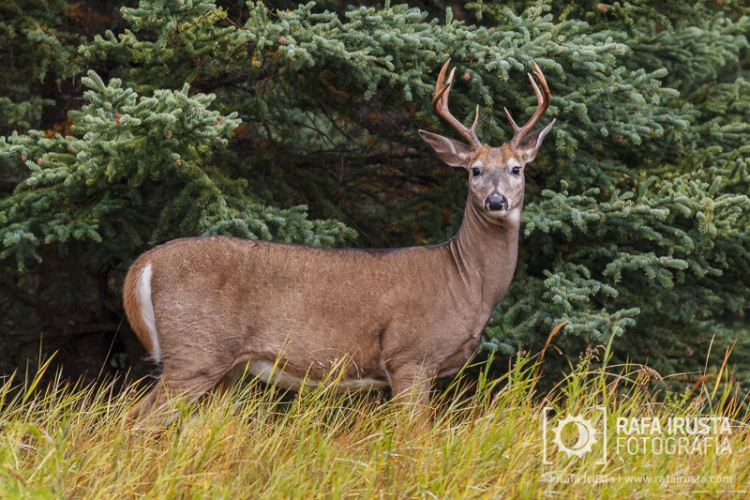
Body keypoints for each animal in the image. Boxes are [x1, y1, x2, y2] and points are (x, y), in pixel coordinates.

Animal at [123, 59, 555, 422]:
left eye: (516, 169)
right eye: (474, 170)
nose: (495, 201)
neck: (465, 282)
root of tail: (143, 265)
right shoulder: (409, 356)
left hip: (223, 368)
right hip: (195, 350)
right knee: (135, 421)